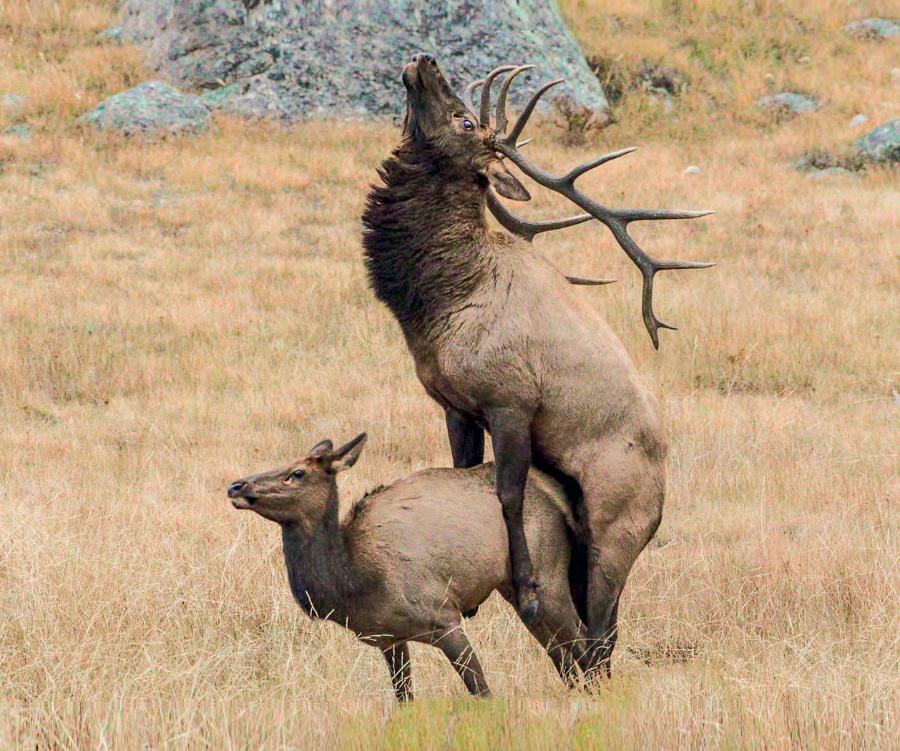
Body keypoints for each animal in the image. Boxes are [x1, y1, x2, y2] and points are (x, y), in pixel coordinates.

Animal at [229, 432, 588, 704]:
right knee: (561, 654)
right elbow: (404, 699)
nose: (236, 486)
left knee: (584, 641)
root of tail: (551, 489)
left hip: (547, 573)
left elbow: (482, 690)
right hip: (515, 589)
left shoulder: (444, 617)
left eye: (298, 473)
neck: (355, 583)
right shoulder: (389, 639)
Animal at [362, 53, 712, 676]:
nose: (425, 60)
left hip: (615, 529)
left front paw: (523, 584)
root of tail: (665, 488)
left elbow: (509, 492)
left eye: (465, 119)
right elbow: (466, 477)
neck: (438, 302)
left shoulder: (512, 401)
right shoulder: (455, 406)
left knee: (602, 636)